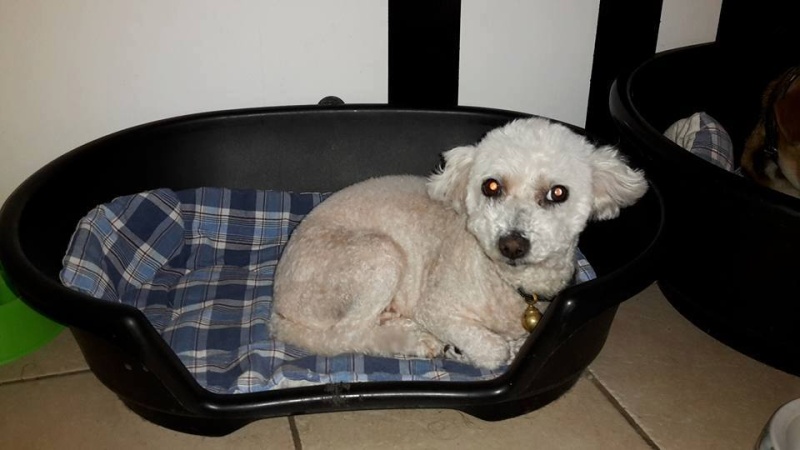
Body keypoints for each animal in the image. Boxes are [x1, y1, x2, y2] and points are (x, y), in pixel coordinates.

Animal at [270, 118, 648, 370]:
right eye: (491, 186)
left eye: (558, 193)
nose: (512, 244)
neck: (511, 284)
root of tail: (279, 303)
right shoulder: (436, 306)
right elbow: (496, 351)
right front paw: (469, 350)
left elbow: (518, 343)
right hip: (377, 257)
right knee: (346, 336)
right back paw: (414, 340)